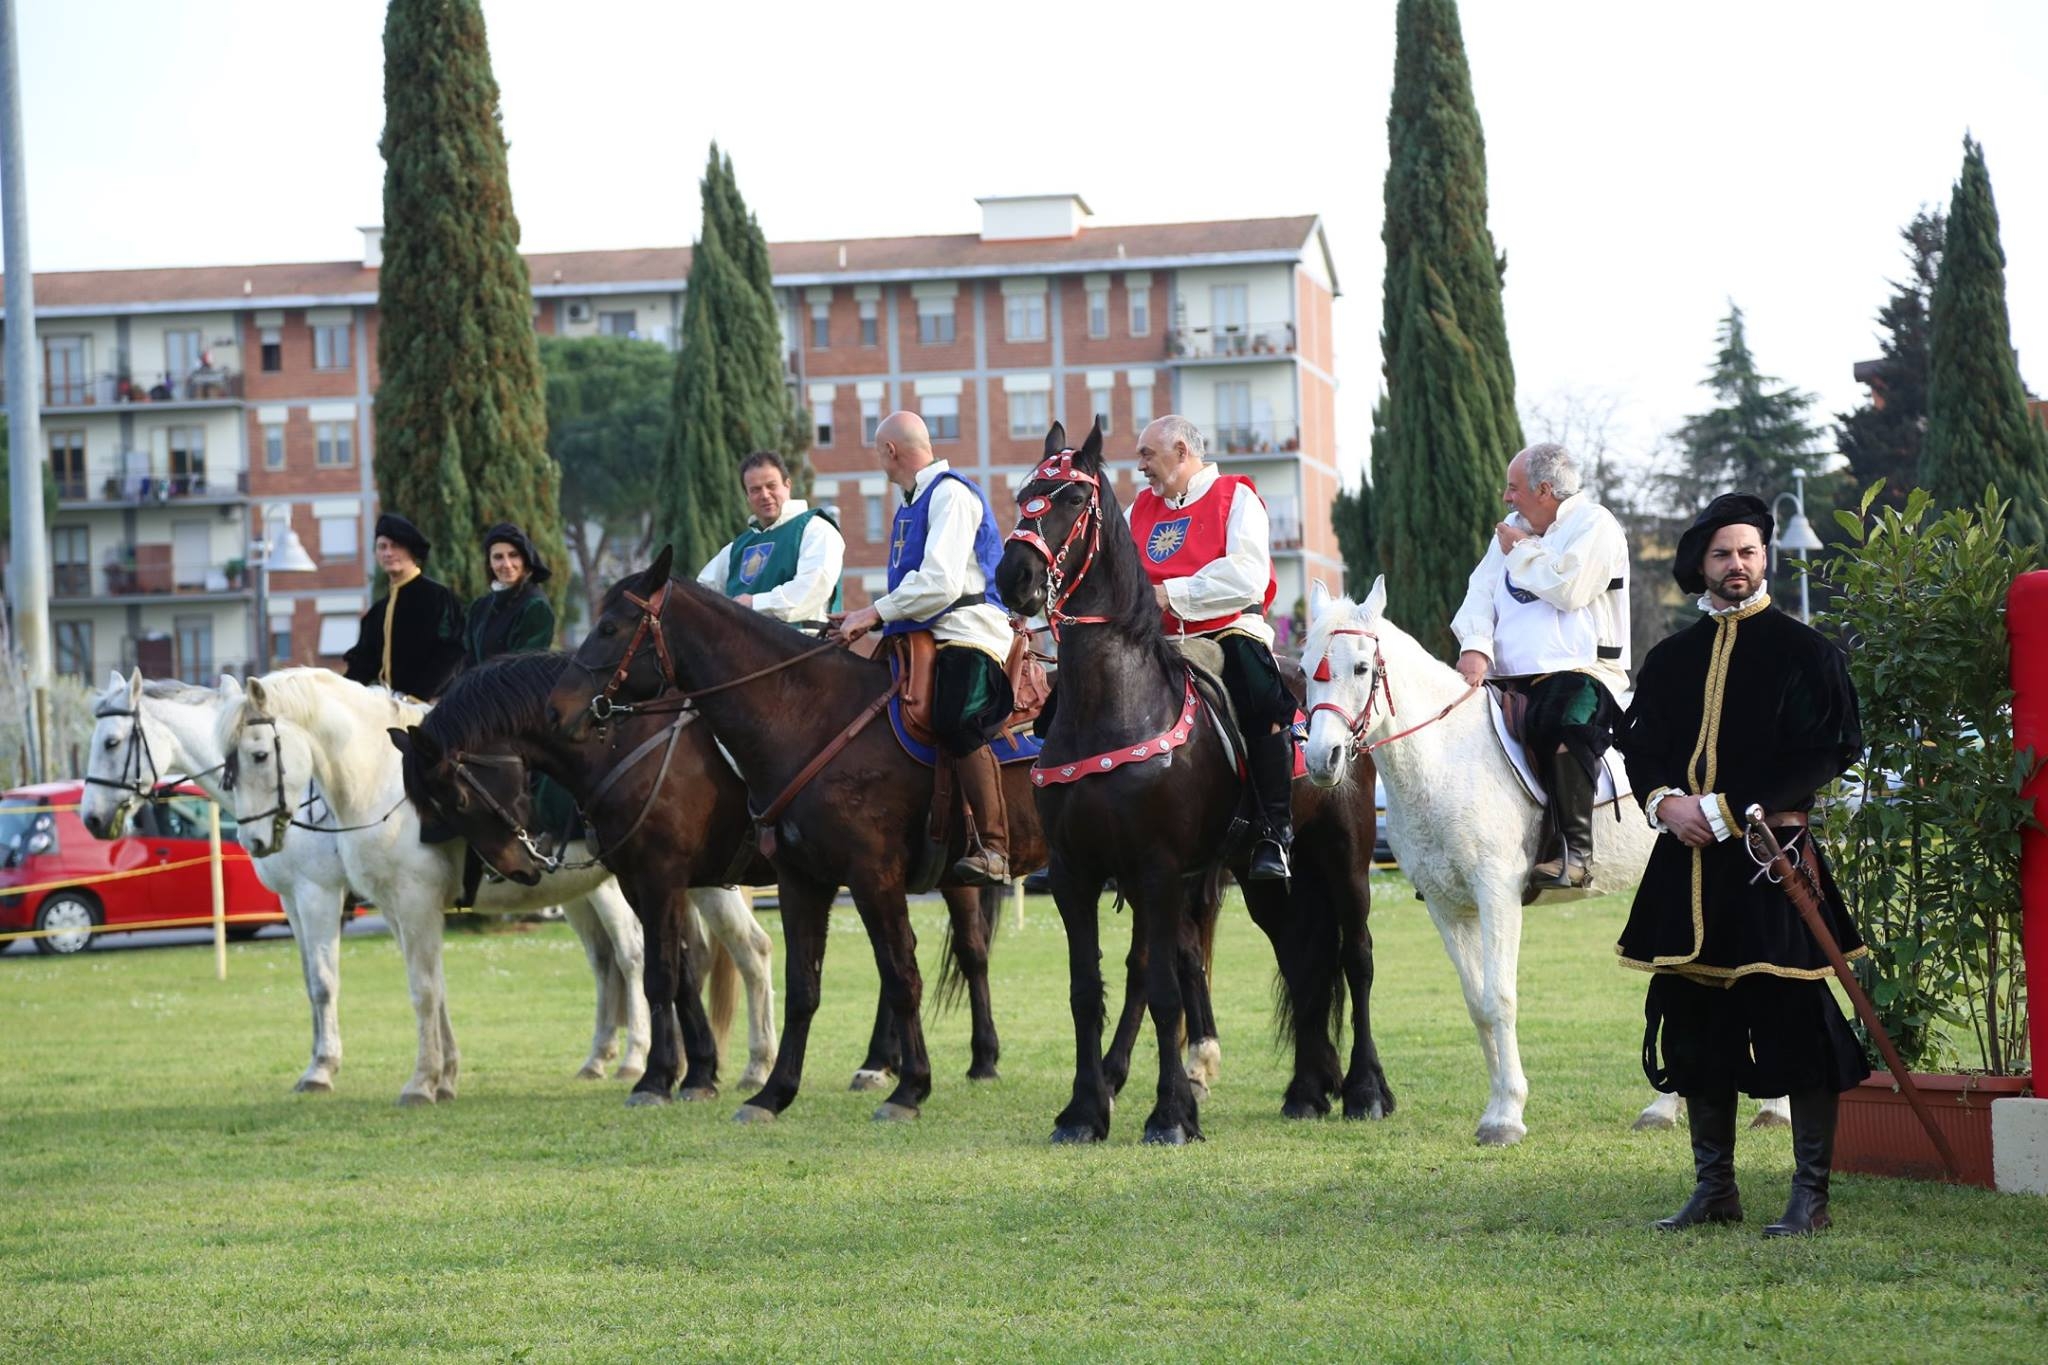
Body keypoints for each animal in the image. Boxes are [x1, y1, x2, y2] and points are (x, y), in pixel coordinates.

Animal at [206, 667, 655, 1105]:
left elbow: (417, 990)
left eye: (259, 755)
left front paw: (418, 1083)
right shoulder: (392, 909)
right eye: (227, 766)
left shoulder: (392, 901)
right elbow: (435, 988)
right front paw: (445, 1079)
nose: (254, 840)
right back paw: (600, 1059)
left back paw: (635, 1058)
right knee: (606, 960)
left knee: (633, 956)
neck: (381, 782)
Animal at [995, 421, 1392, 1146]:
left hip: (1345, 856)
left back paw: (1366, 1089)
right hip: (1268, 881)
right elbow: (1086, 989)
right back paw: (1306, 1089)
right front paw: (1084, 1111)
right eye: (1024, 493)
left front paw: (1171, 1113)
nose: (1016, 576)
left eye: (1073, 497)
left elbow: (1161, 987)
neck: (1114, 704)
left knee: (1357, 956)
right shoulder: (1073, 873)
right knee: (1303, 959)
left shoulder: (1156, 871)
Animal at [1302, 577, 1785, 1146]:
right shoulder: (1447, 907)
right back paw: (1666, 1108)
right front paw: (1496, 1107)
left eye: (1360, 667)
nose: (1321, 760)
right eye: (1305, 667)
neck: (1445, 759)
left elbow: (1499, 999)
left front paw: (1508, 1115)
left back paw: (1775, 1106)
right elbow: (1477, 1005)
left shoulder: (1497, 895)